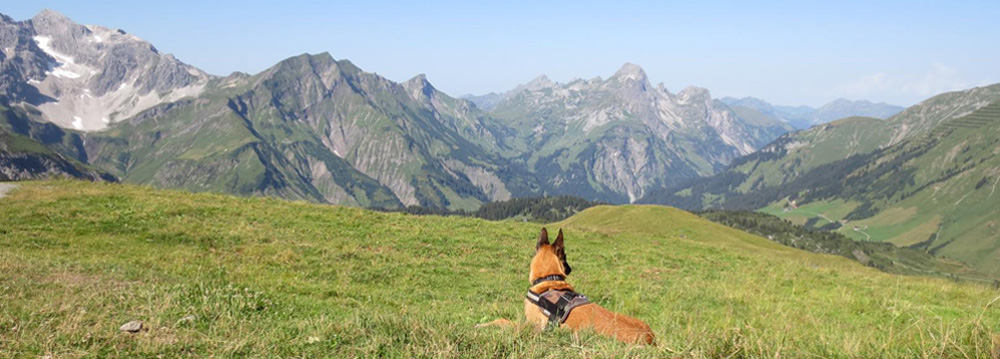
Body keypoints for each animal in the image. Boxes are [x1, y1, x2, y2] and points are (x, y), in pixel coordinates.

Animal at [476, 228, 656, 346]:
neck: (549, 278)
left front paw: (483, 325)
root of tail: (650, 339)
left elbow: (503, 320)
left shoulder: (531, 326)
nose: (570, 268)